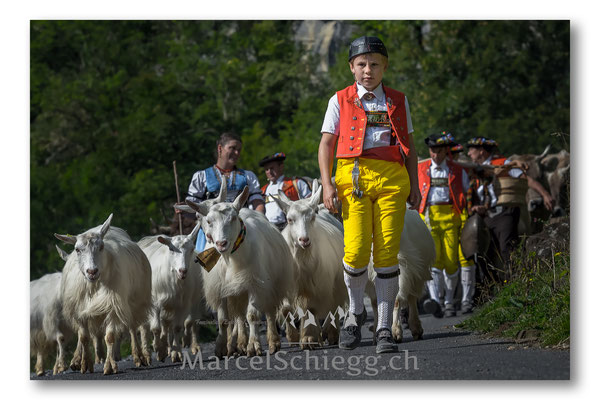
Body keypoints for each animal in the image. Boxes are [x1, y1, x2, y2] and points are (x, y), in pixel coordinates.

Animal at [54, 214, 152, 374]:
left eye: (101, 247)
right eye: (77, 249)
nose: (92, 271)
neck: (94, 285)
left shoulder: (113, 306)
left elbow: (110, 337)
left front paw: (109, 366)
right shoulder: (80, 310)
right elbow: (84, 337)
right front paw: (84, 364)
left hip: (134, 301)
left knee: (132, 327)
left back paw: (139, 357)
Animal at [139, 223, 205, 364]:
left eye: (192, 248)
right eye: (171, 248)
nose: (183, 271)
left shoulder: (182, 304)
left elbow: (177, 327)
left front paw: (176, 352)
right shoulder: (154, 303)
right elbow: (155, 328)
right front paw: (158, 349)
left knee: (169, 324)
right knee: (145, 327)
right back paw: (147, 354)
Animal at [184, 180, 294, 358]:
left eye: (233, 218)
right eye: (209, 221)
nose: (221, 243)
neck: (230, 258)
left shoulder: (256, 284)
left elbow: (253, 315)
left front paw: (253, 346)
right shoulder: (222, 288)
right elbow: (223, 320)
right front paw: (221, 347)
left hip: (272, 283)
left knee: (269, 311)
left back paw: (273, 342)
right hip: (238, 292)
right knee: (239, 316)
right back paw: (239, 343)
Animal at [272, 180, 346, 348]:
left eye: (311, 217)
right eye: (289, 219)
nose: (304, 240)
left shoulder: (316, 285)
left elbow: (310, 309)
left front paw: (308, 338)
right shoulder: (286, 285)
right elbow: (286, 308)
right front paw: (292, 336)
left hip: (335, 283)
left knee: (333, 307)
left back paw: (330, 334)